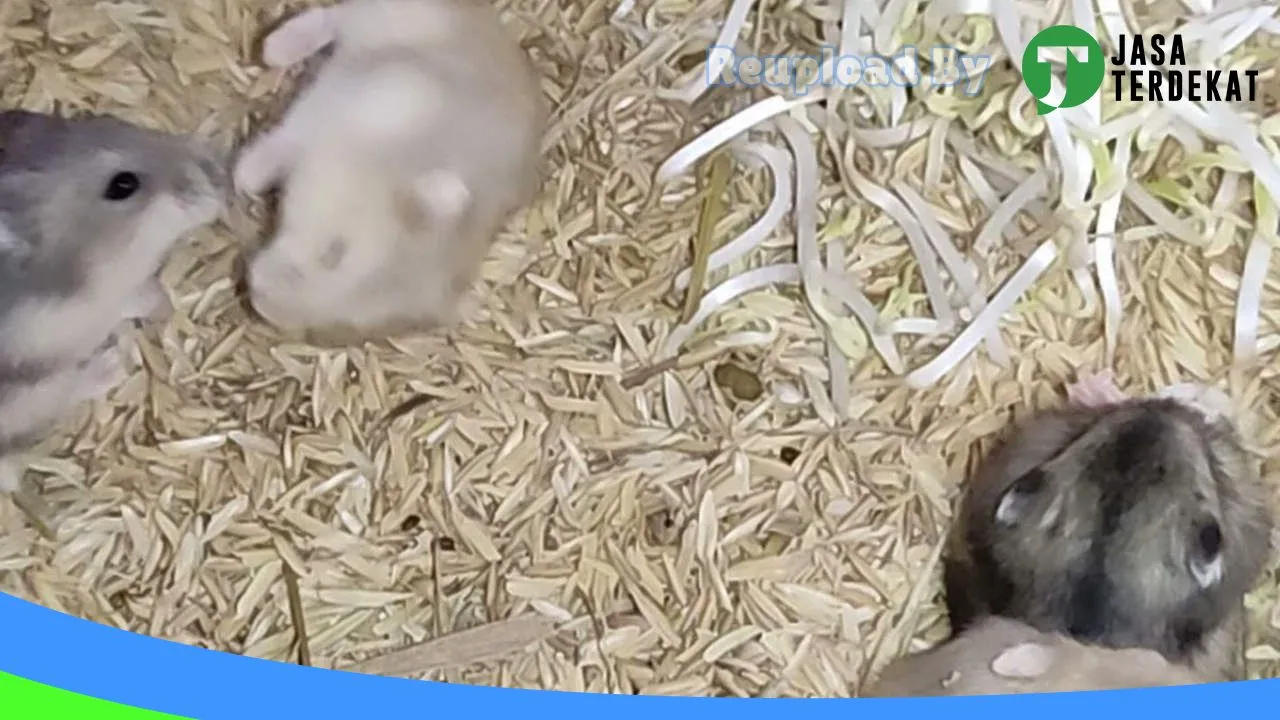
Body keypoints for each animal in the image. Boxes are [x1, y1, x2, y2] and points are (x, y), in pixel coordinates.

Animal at [0, 109, 226, 492]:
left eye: (108, 119)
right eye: (123, 185)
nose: (217, 173)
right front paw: (162, 308)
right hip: (34, 392)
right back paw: (114, 364)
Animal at [233, 0, 546, 342]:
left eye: (344, 323)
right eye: (334, 252)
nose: (258, 300)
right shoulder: (363, 96)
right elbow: (290, 138)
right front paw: (243, 176)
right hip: (394, 14)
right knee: (339, 15)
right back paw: (274, 48)